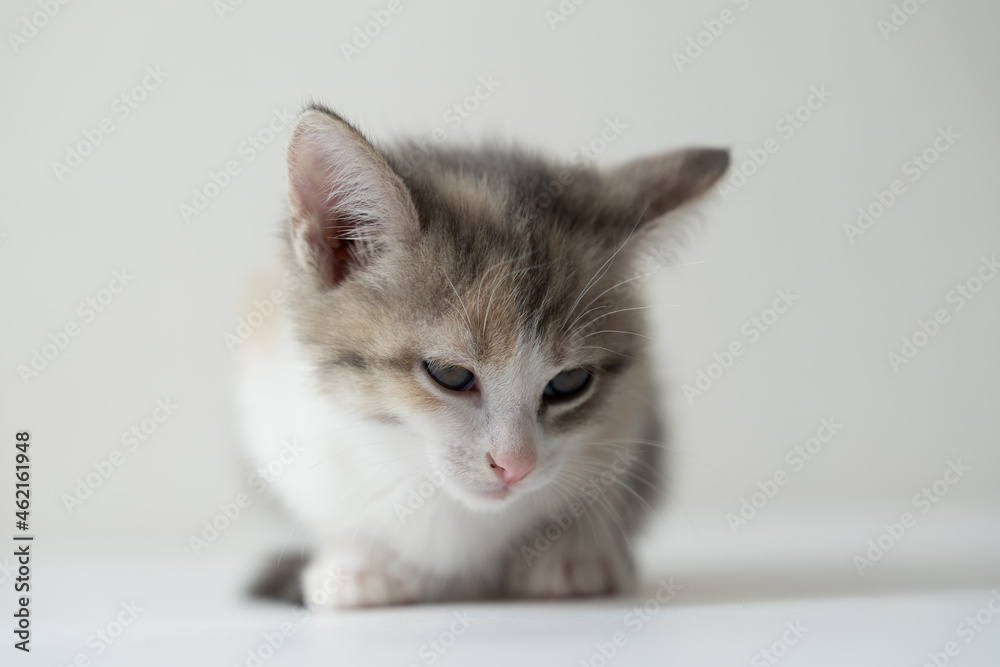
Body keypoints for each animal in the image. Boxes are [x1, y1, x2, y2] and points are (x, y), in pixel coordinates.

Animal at [239, 105, 732, 612]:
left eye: (569, 382)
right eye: (450, 374)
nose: (515, 466)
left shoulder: (632, 416)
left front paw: (572, 553)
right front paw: (359, 563)